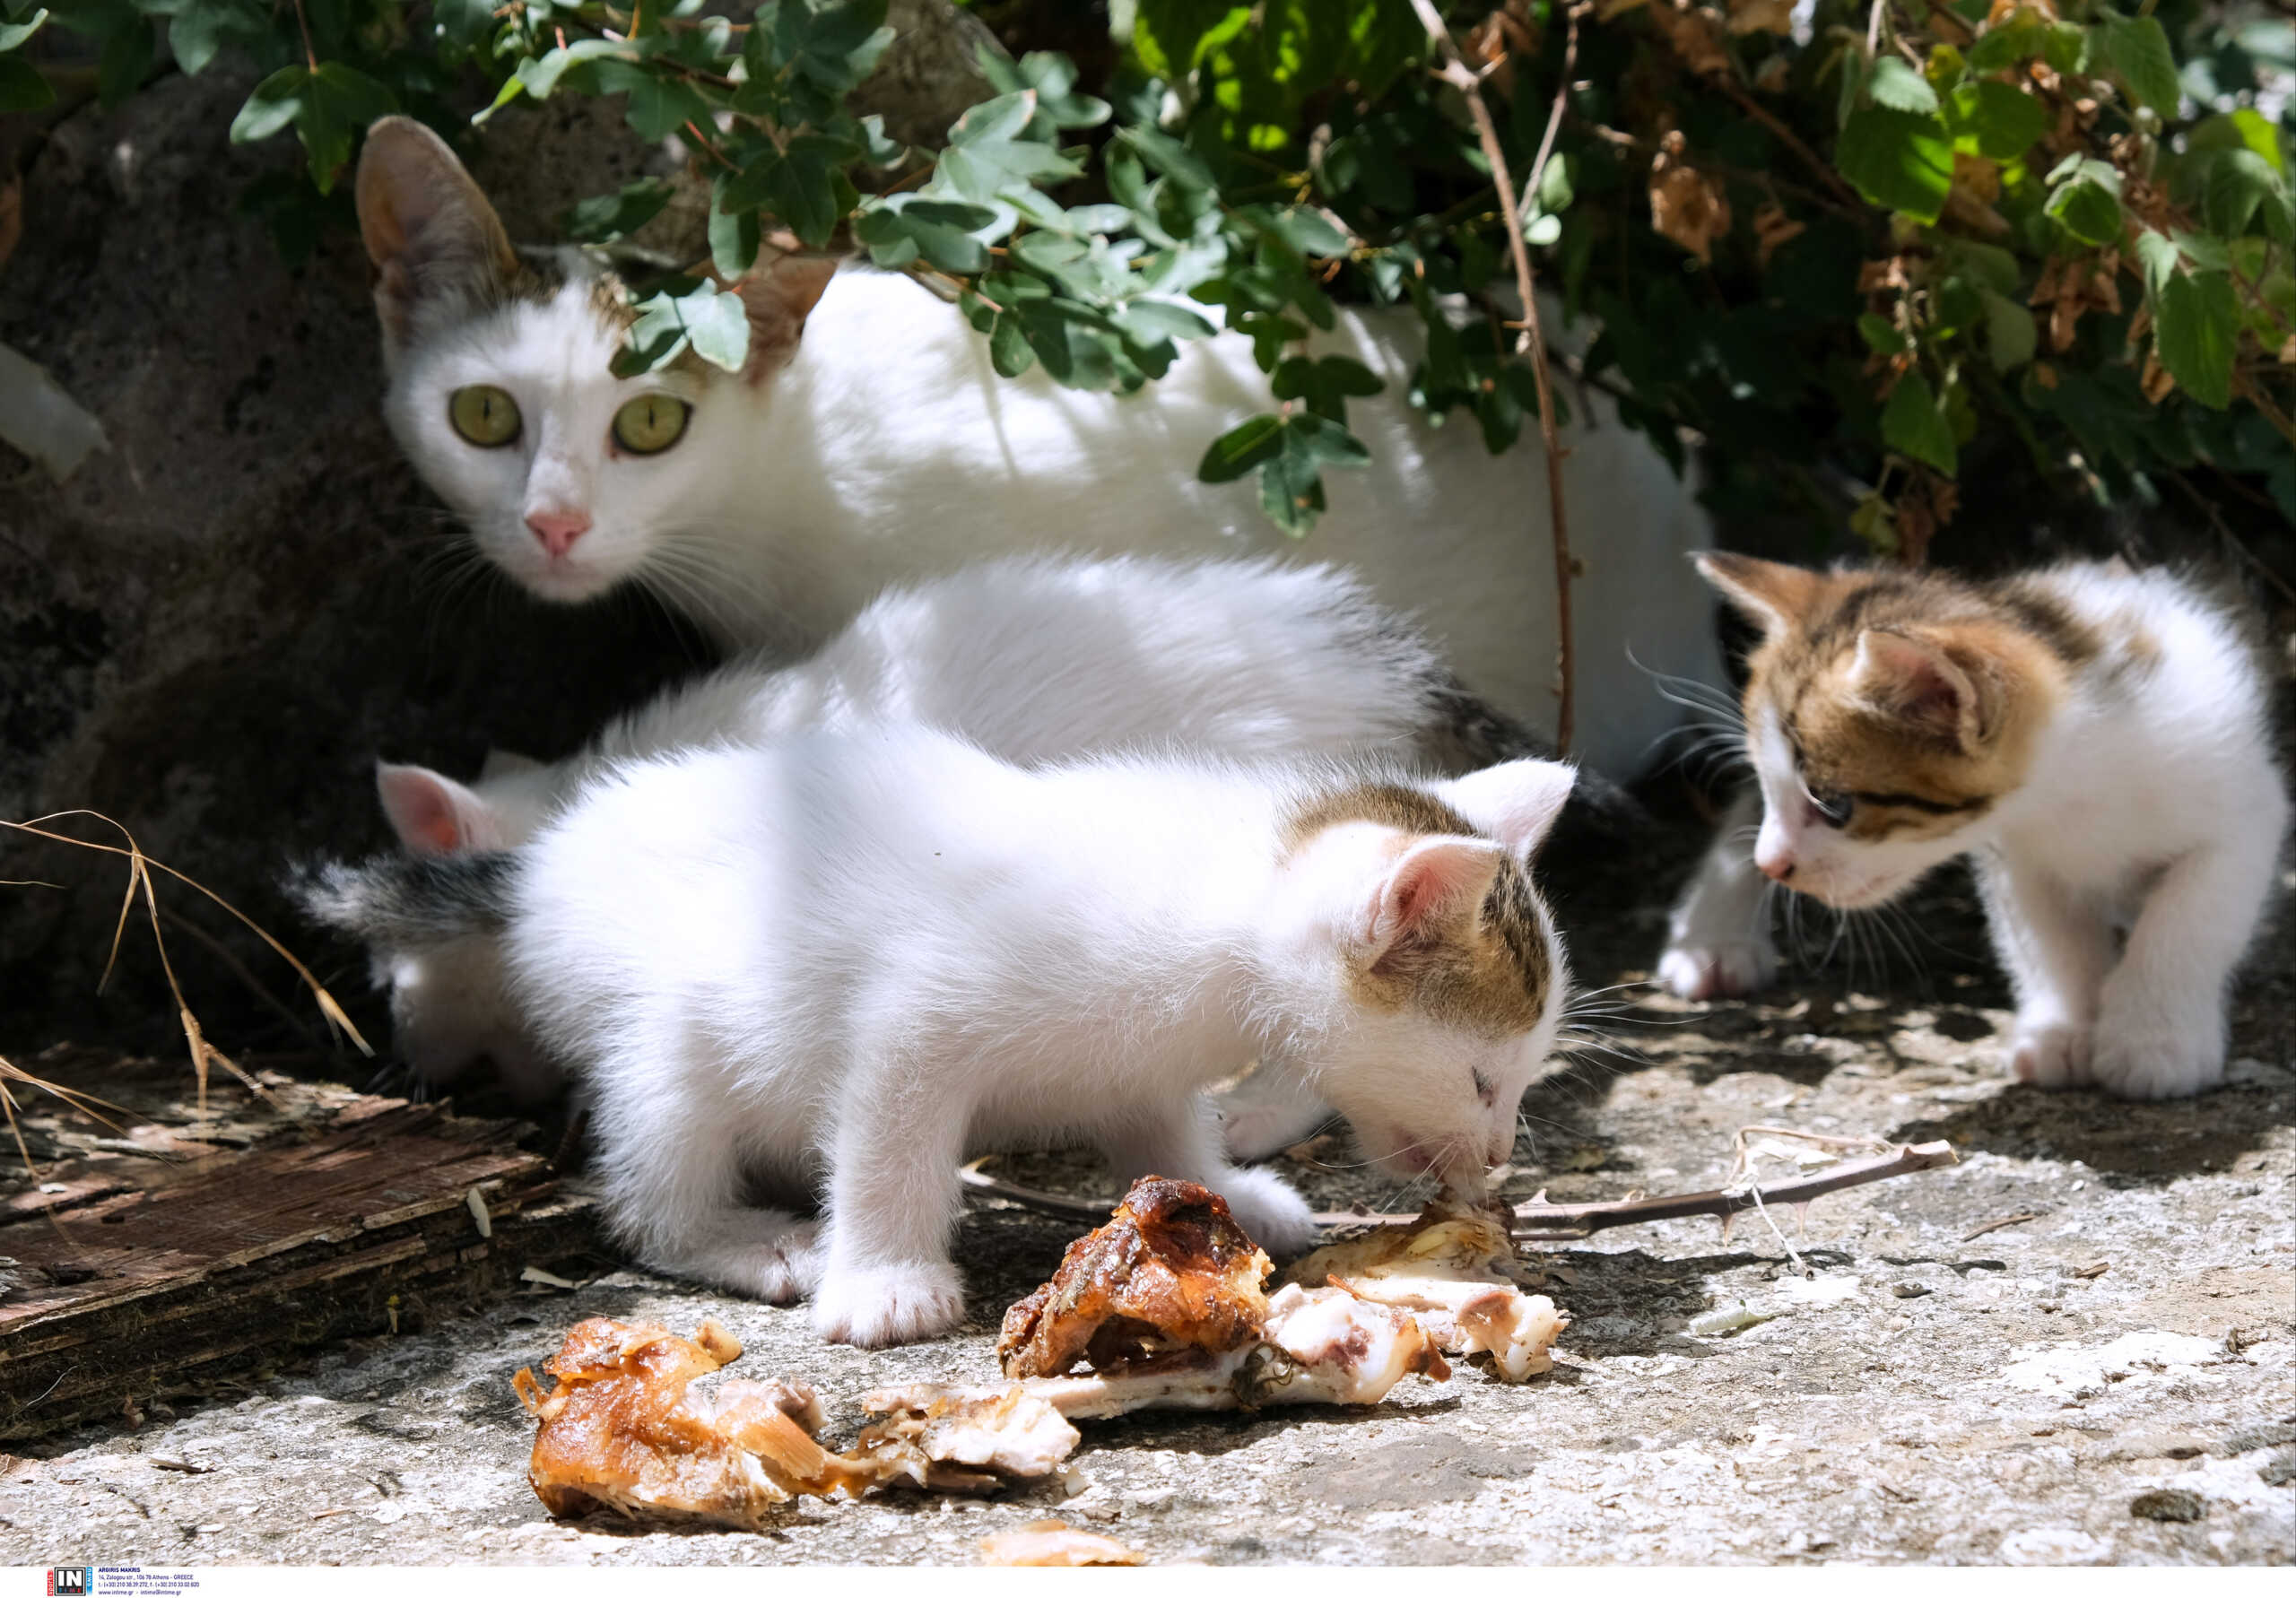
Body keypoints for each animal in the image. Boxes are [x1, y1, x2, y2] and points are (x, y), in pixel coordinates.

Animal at [305, 734, 1579, 1350]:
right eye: (1480, 1077)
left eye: (1521, 1080)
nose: (1498, 1156)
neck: (1225, 907)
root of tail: (540, 867)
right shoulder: (916, 1018)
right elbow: (889, 1144)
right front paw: (885, 1280)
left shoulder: (1140, 1063)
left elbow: (1159, 1128)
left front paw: (1223, 1194)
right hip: (665, 1029)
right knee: (652, 1181)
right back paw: (742, 1239)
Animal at [1662, 553, 2286, 1097]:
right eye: (1785, 791)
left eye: (1834, 805)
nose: (1774, 864)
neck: (2074, 784)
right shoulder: (2016, 857)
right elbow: (2050, 940)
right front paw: (2064, 1029)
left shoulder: (2247, 813)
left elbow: (2185, 922)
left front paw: (2154, 1040)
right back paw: (1710, 938)